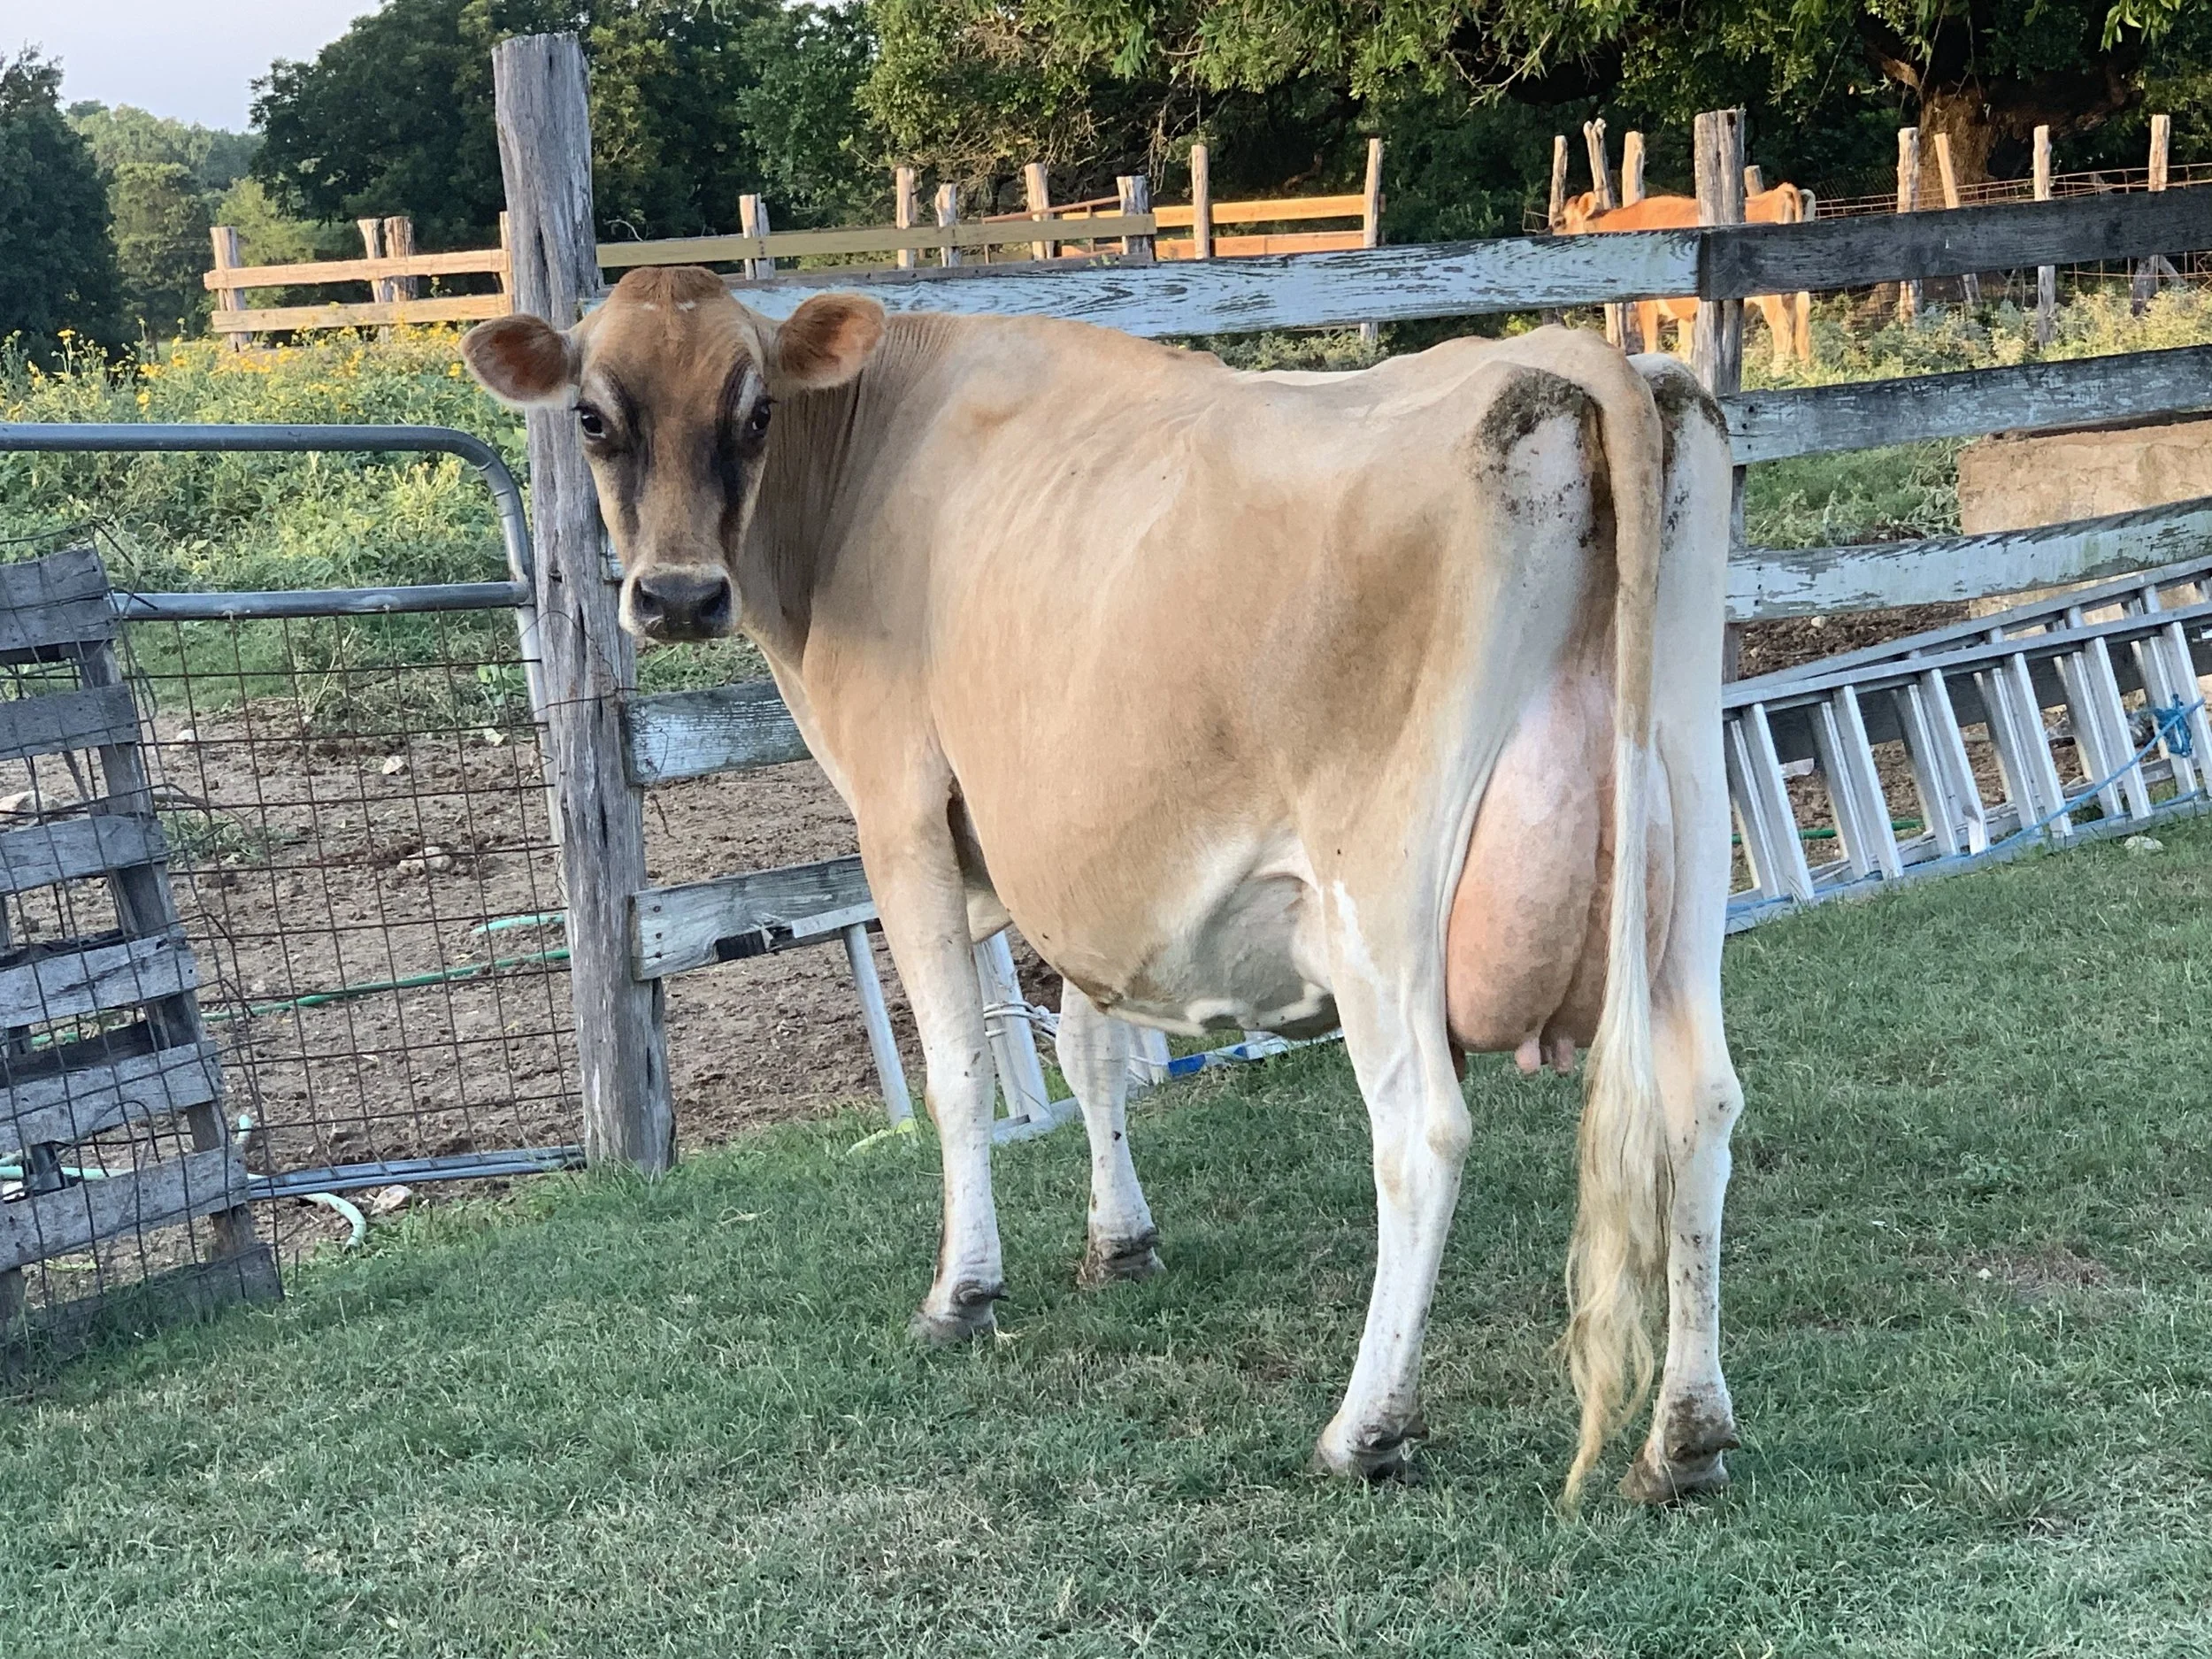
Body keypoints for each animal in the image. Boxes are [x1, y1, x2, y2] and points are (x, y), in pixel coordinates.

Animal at [461, 266, 1744, 1504]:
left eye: (757, 409)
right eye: (593, 416)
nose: (677, 596)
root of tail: (1569, 358)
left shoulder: (902, 813)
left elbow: (961, 1071)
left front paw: (962, 1292)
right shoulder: (1077, 857)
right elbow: (1087, 1047)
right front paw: (1120, 1240)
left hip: (1382, 890)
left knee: (1422, 1129)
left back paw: (1365, 1429)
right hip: (1684, 836)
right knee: (1701, 1099)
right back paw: (1685, 1438)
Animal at [1558, 186, 1814, 369]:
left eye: (1561, 221)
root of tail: (1780, 191)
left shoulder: (1648, 303)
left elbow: (1652, 347)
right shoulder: (1685, 313)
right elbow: (1685, 351)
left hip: (1769, 293)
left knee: (1783, 328)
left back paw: (1777, 374)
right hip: (1800, 290)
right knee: (1802, 325)